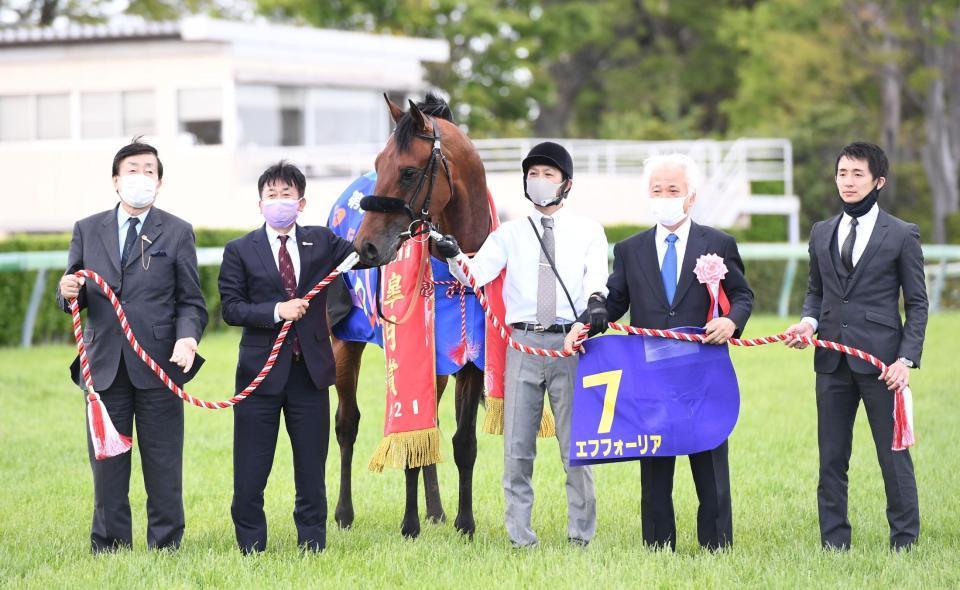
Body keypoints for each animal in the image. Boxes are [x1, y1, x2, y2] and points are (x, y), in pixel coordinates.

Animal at [330, 93, 493, 539]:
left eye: (407, 171)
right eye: (379, 162)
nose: (365, 247)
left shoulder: (470, 360)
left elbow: (461, 442)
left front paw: (464, 523)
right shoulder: (410, 356)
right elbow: (408, 436)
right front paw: (409, 524)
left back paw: (435, 510)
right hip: (343, 343)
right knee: (346, 423)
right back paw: (343, 514)